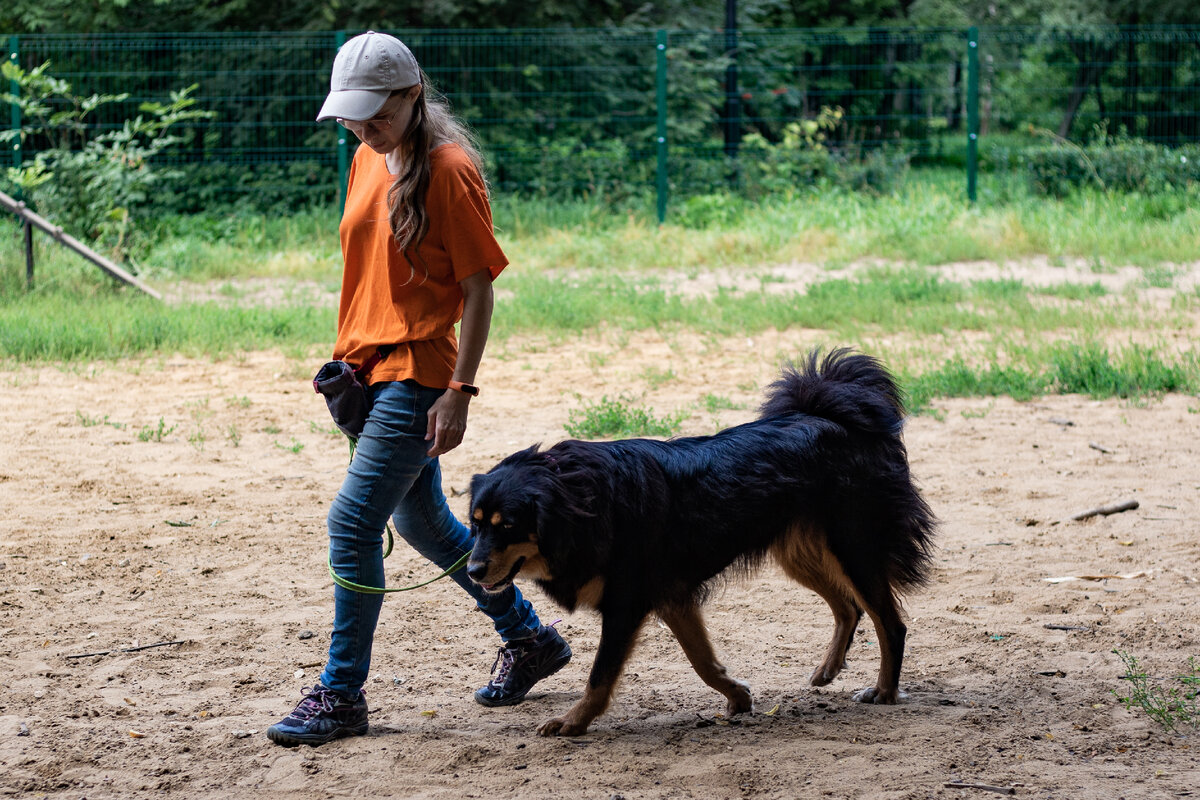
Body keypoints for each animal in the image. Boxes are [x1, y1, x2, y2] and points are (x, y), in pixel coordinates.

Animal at [463, 350, 931, 738]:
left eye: (508, 526)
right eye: (476, 524)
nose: (471, 571)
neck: (585, 502)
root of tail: (835, 417)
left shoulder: (626, 605)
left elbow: (599, 676)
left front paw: (573, 722)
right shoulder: (673, 599)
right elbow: (702, 661)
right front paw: (738, 696)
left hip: (854, 549)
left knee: (890, 623)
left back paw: (885, 691)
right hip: (801, 553)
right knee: (848, 607)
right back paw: (829, 669)